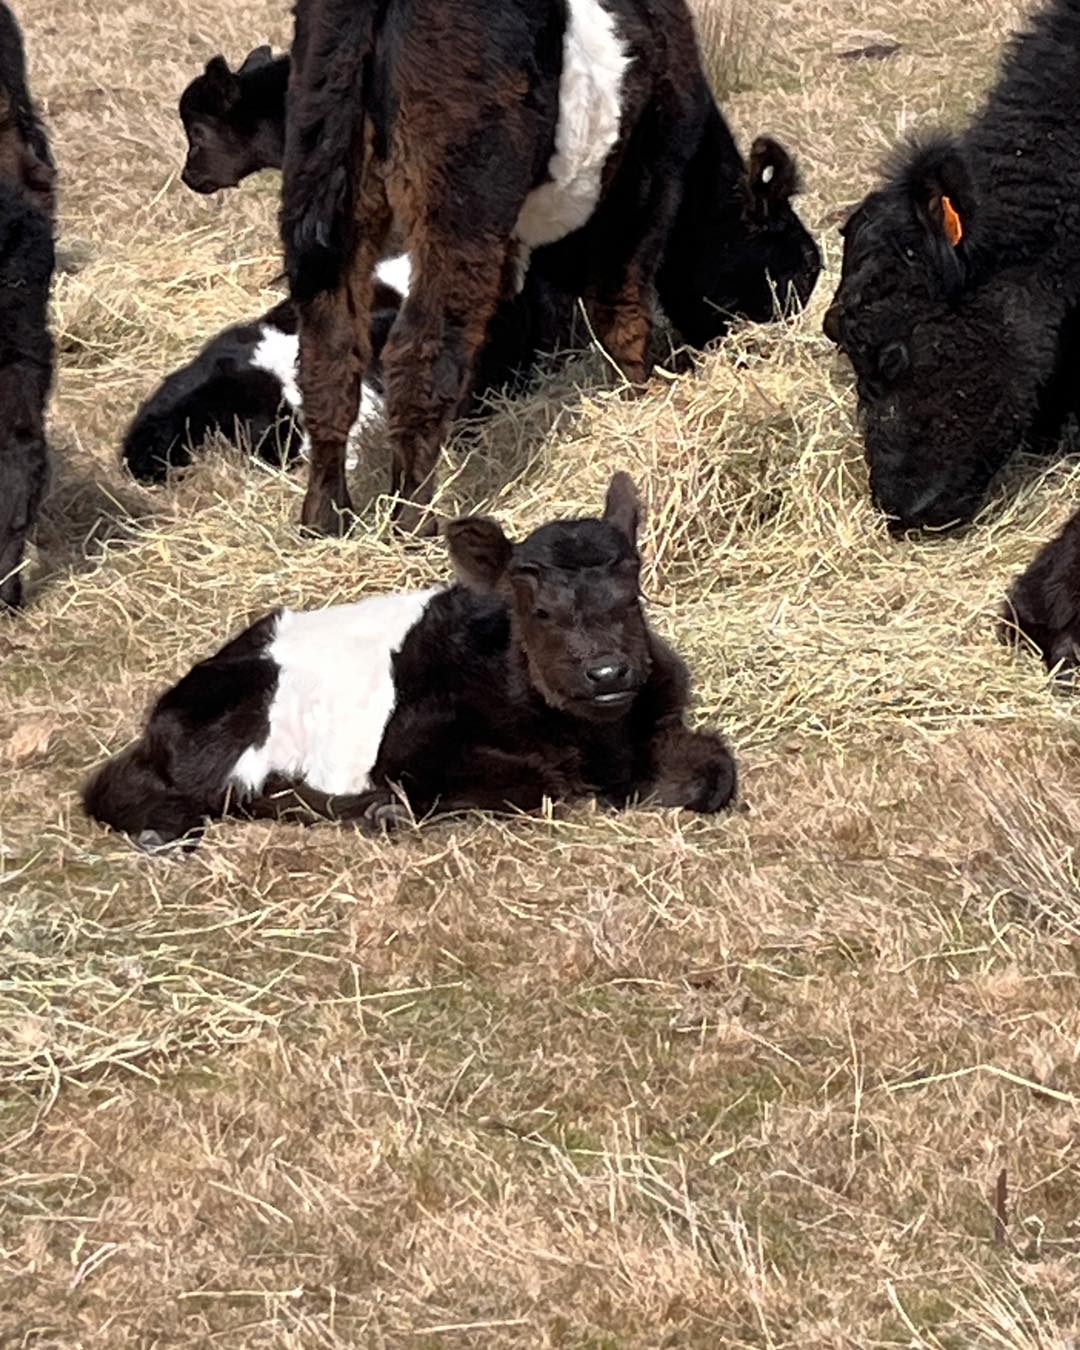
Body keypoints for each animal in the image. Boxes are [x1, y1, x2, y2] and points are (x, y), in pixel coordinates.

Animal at [82, 475, 734, 847]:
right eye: (540, 612)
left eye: (632, 598)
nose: (606, 673)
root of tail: (164, 713)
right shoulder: (415, 744)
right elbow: (542, 782)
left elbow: (717, 770)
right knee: (241, 792)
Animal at [278, 0, 820, 534]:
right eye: (798, 272)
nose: (766, 347)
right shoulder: (647, 185)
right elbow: (622, 310)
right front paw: (639, 397)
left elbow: (512, 324)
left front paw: (476, 427)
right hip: (460, 203)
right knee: (418, 354)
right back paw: (414, 522)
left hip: (327, 195)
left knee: (329, 356)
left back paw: (326, 519)